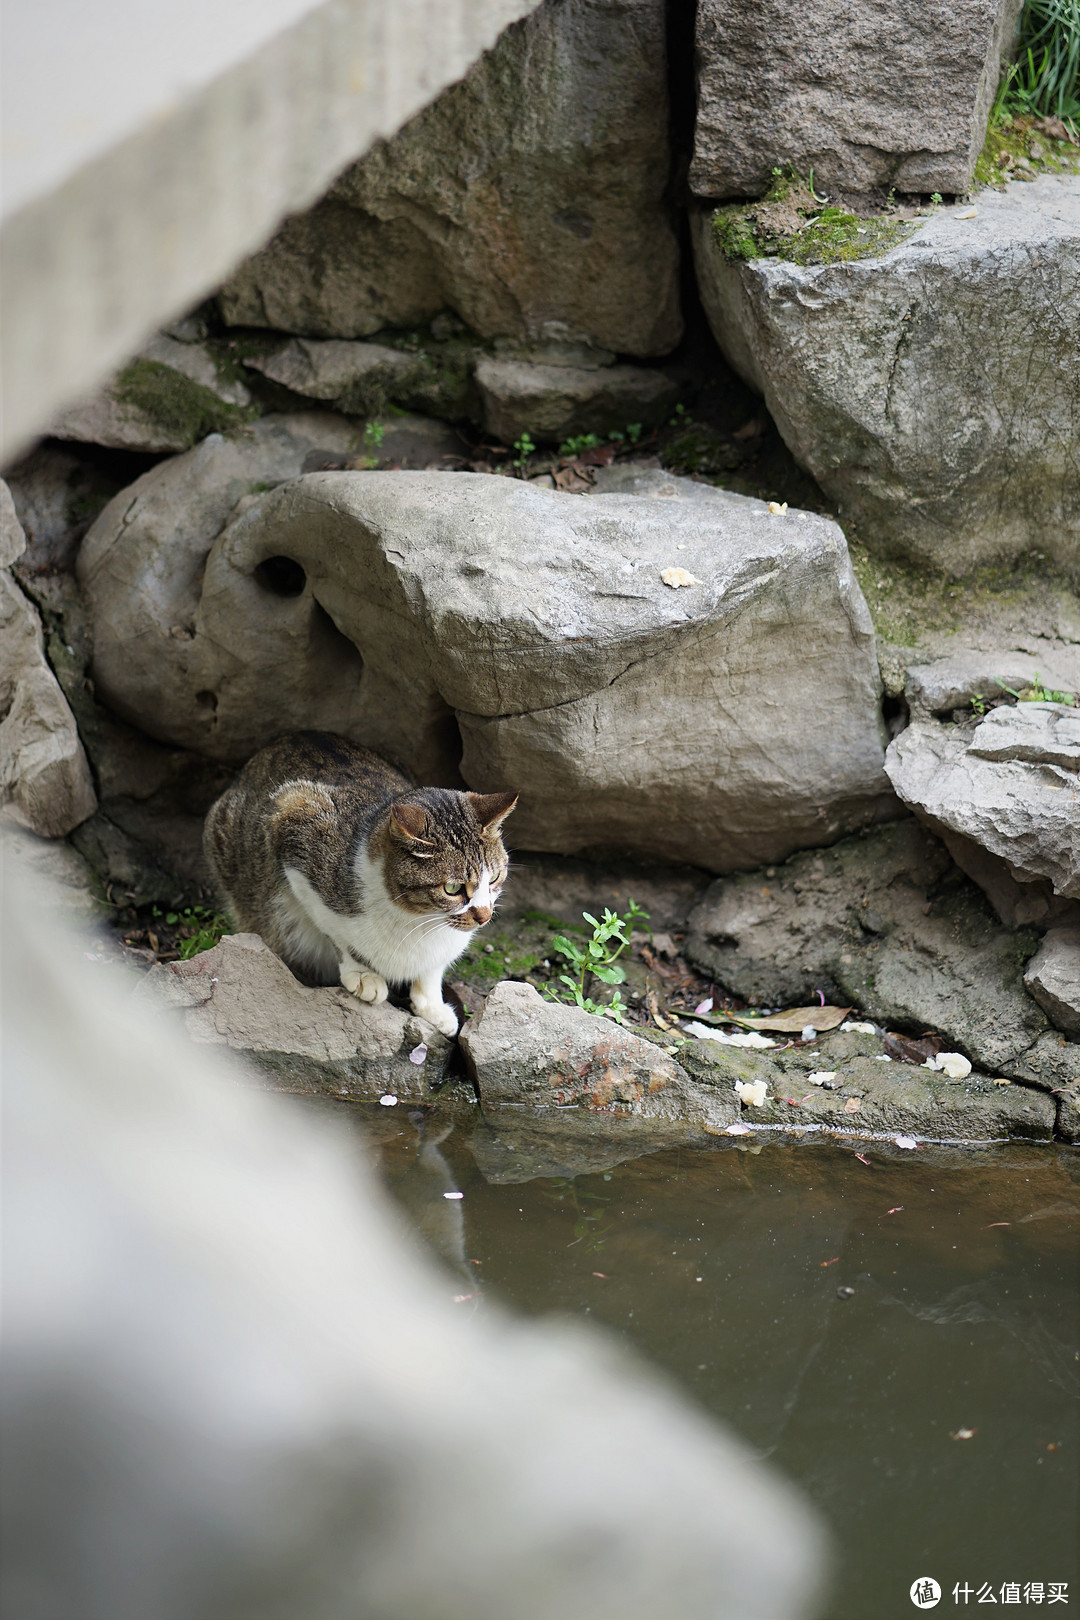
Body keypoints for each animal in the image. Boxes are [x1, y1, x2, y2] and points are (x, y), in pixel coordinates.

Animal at [208, 735, 524, 1036]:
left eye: (494, 878)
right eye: (453, 889)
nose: (484, 915)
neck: (418, 921)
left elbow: (432, 970)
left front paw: (432, 1007)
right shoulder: (294, 824)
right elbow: (335, 933)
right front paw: (362, 975)